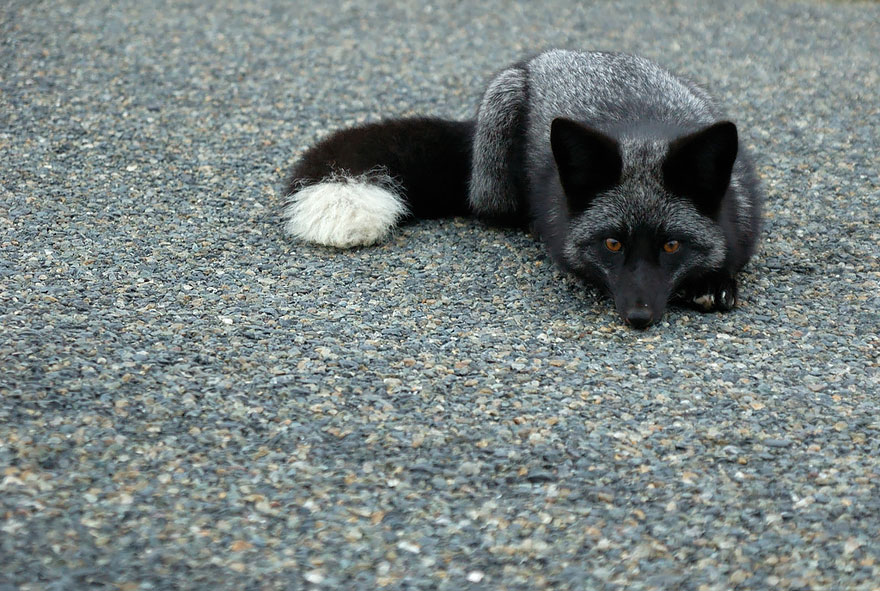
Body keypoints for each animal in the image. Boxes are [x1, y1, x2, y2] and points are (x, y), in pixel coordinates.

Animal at [284, 51, 764, 328]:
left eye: (671, 246)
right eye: (612, 244)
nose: (639, 317)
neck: (643, 131)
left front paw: (717, 281)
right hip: (500, 131)